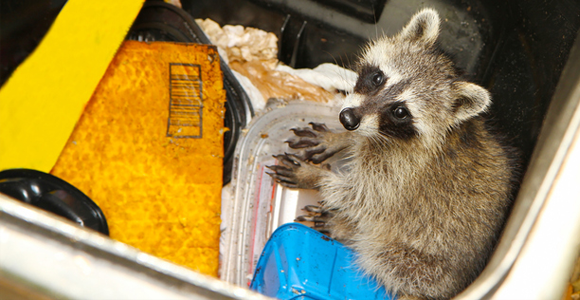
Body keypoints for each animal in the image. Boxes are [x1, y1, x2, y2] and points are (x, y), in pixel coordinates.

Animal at [270, 7, 520, 300]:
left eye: (400, 111)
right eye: (378, 78)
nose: (347, 119)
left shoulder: (400, 174)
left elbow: (363, 197)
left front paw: (314, 176)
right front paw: (341, 138)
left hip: (420, 263)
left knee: (380, 253)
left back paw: (347, 230)